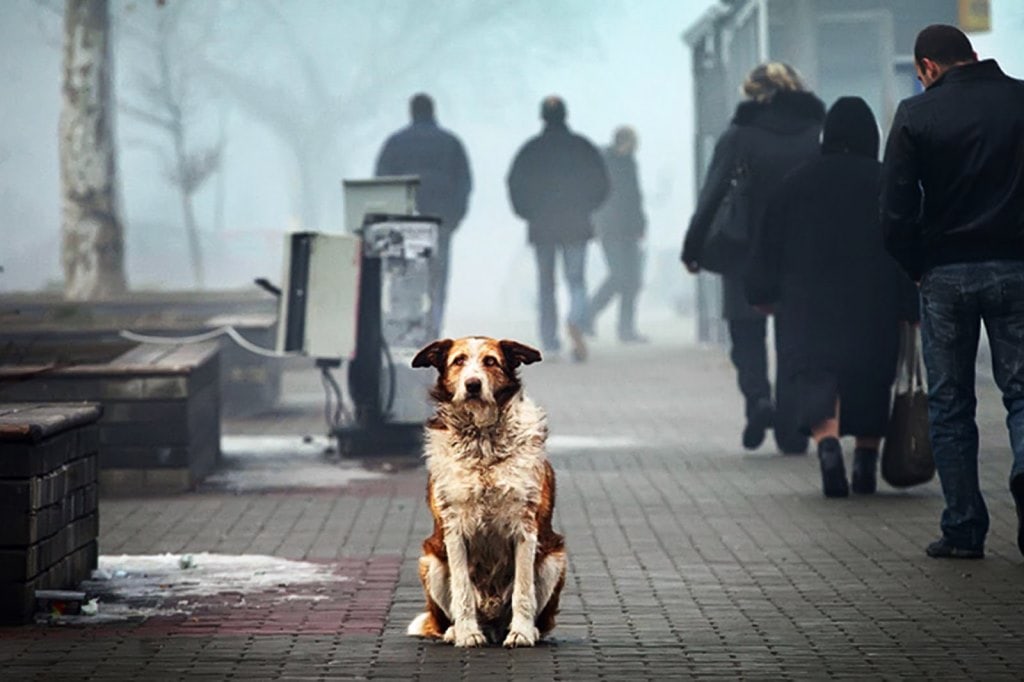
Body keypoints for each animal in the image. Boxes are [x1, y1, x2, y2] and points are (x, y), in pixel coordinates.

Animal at [405, 337, 569, 647]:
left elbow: (522, 591)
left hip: (554, 559)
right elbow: (462, 590)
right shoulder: (454, 530)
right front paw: (468, 634)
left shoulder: (525, 528)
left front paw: (521, 633)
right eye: (458, 361)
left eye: (490, 361)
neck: (482, 441)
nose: (472, 384)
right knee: (448, 613)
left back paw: (529, 629)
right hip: (430, 561)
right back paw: (456, 630)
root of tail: (493, 624)